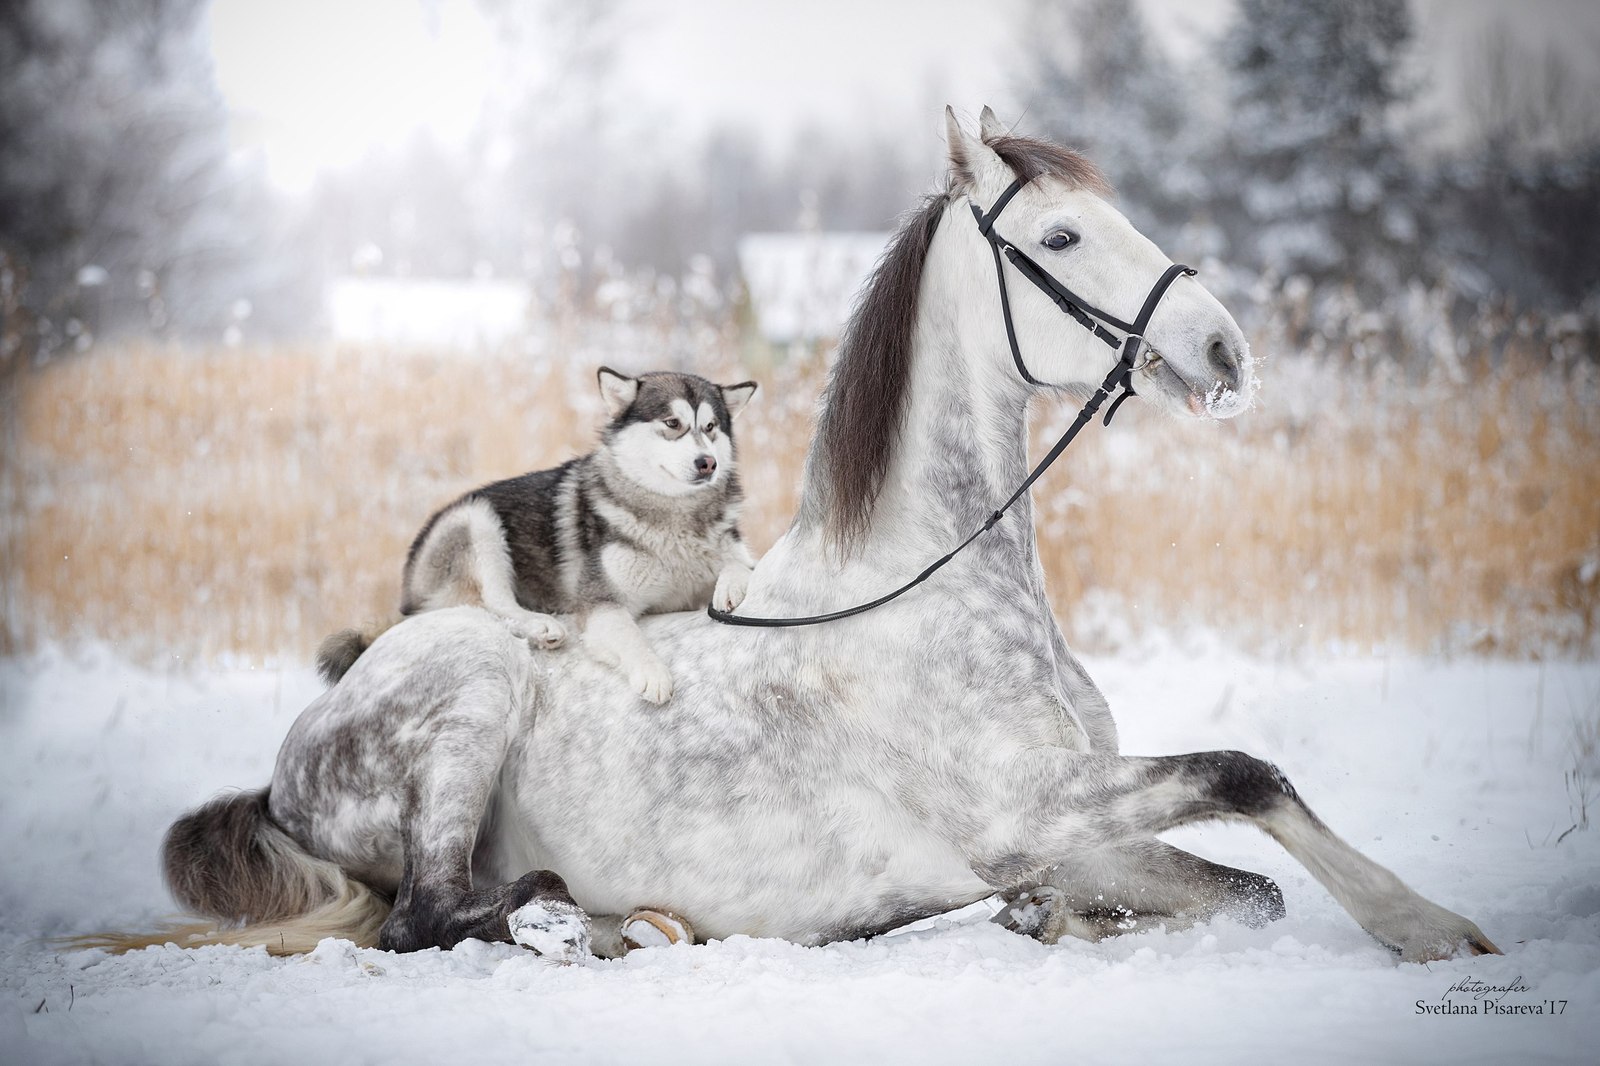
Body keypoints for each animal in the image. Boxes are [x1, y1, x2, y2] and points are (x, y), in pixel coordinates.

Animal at [321, 369, 758, 701]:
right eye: (672, 424)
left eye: (710, 427)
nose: (707, 463)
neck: (675, 516)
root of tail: (408, 592)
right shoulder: (600, 603)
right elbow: (631, 637)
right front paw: (652, 673)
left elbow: (739, 563)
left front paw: (731, 585)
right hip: (477, 520)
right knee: (491, 604)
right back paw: (540, 625)